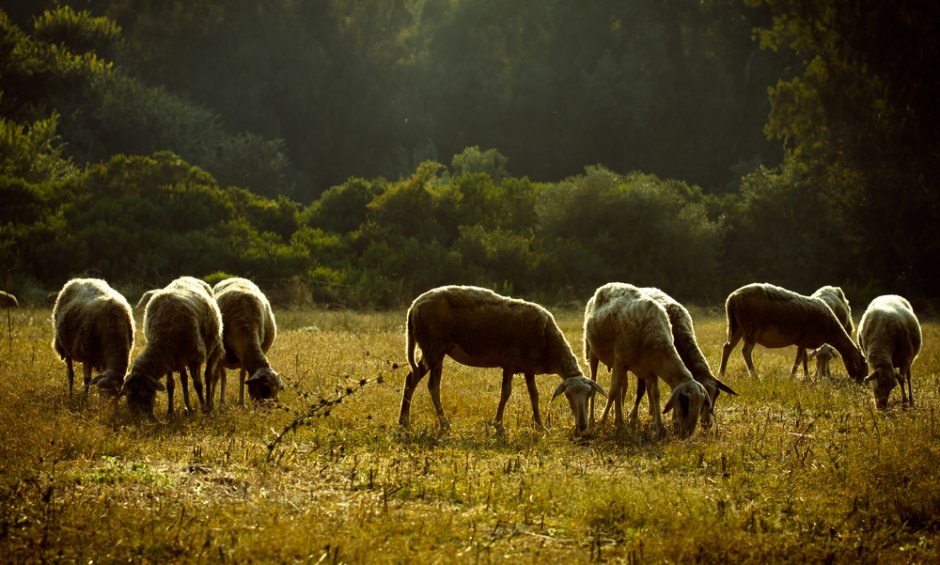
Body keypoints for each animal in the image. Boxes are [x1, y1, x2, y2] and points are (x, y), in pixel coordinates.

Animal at [114, 276, 222, 416]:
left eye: (144, 393)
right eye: (128, 395)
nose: (139, 416)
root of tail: (188, 277)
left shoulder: (195, 358)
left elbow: (198, 385)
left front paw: (203, 409)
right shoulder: (170, 359)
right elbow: (170, 385)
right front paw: (170, 412)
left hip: (213, 347)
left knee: (208, 376)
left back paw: (208, 405)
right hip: (181, 358)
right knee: (184, 379)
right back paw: (188, 408)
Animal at [213, 274, 282, 404]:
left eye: (278, 389)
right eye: (264, 388)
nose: (267, 408)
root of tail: (236, 278)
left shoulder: (244, 358)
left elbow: (242, 377)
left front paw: (241, 403)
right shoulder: (218, 357)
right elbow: (216, 378)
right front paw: (213, 404)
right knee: (223, 376)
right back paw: (222, 402)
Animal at [394, 284, 604, 434]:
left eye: (589, 395)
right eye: (567, 395)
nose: (582, 426)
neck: (548, 342)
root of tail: (413, 307)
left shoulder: (528, 367)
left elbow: (534, 396)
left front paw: (540, 426)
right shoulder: (509, 363)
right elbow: (506, 393)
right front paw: (499, 425)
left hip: (438, 351)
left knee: (432, 385)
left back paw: (439, 423)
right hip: (433, 346)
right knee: (412, 379)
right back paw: (406, 422)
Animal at [584, 284, 708, 438]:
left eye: (701, 405)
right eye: (685, 403)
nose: (688, 434)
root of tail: (605, 287)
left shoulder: (651, 368)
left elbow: (655, 394)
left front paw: (660, 428)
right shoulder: (620, 361)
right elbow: (612, 392)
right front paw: (600, 424)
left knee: (621, 389)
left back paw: (620, 423)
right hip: (592, 352)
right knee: (595, 383)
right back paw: (592, 420)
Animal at [720, 282, 868, 384]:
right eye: (862, 364)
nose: (862, 382)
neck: (830, 330)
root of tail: (732, 298)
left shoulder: (804, 341)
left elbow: (803, 358)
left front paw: (806, 378)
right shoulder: (805, 338)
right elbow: (798, 359)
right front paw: (792, 378)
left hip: (736, 327)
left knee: (727, 347)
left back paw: (722, 374)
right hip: (752, 328)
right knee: (745, 351)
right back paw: (755, 377)